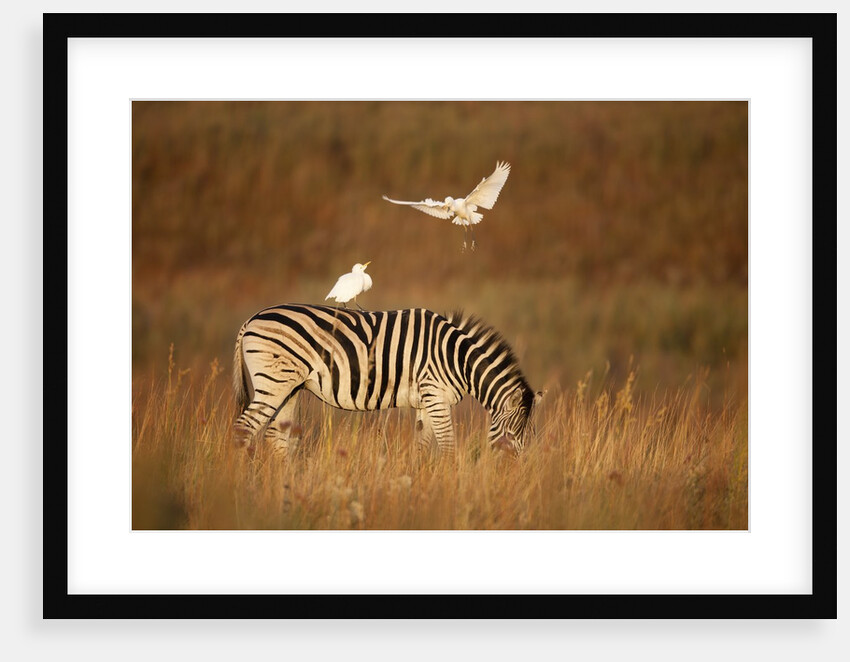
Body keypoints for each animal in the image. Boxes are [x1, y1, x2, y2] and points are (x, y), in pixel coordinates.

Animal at [232, 304, 543, 457]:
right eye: (510, 432)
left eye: (527, 435)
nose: (513, 470)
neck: (456, 357)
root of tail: (251, 319)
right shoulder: (436, 396)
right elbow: (448, 445)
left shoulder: (426, 401)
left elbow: (422, 446)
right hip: (272, 383)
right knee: (243, 429)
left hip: (290, 387)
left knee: (275, 437)